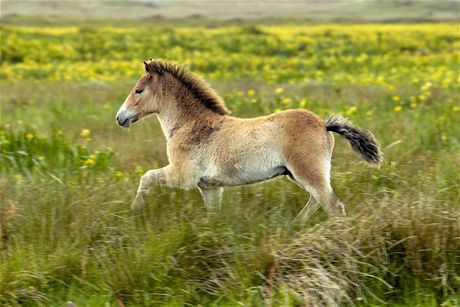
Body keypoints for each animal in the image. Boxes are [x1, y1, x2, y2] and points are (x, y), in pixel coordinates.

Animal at [116, 59, 380, 219]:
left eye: (138, 90)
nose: (120, 117)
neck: (189, 125)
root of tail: (324, 125)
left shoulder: (182, 176)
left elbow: (147, 177)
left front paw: (135, 210)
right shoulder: (209, 187)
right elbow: (213, 217)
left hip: (307, 171)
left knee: (333, 206)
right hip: (297, 174)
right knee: (317, 201)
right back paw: (296, 224)